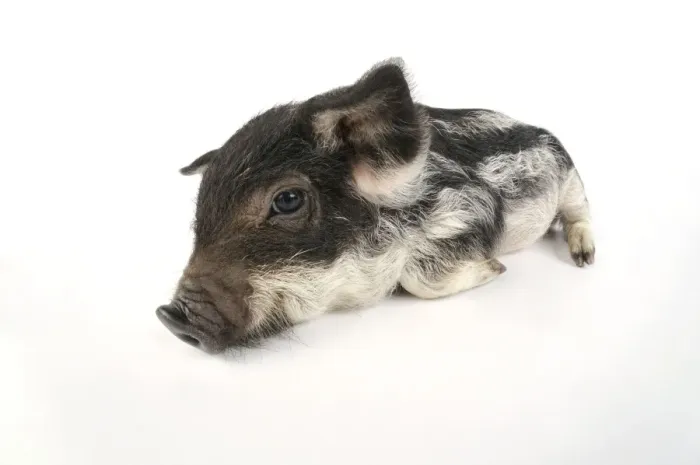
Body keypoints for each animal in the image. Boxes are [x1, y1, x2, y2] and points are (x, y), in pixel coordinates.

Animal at [156, 58, 595, 353]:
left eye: (288, 200)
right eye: (202, 206)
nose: (169, 316)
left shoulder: (472, 206)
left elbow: (421, 280)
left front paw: (494, 268)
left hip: (572, 177)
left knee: (580, 213)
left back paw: (584, 259)